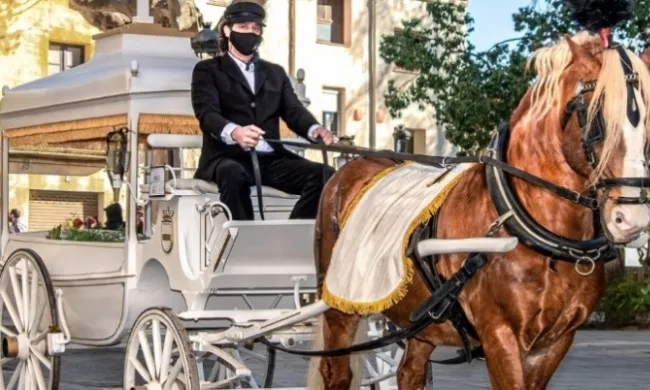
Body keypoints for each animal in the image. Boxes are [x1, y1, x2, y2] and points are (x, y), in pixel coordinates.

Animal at [306, 33, 648, 390]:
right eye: (595, 115)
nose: (631, 218)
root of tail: (347, 169)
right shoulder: (500, 335)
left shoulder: (555, 342)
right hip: (339, 307)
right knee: (337, 372)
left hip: (422, 321)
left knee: (409, 371)